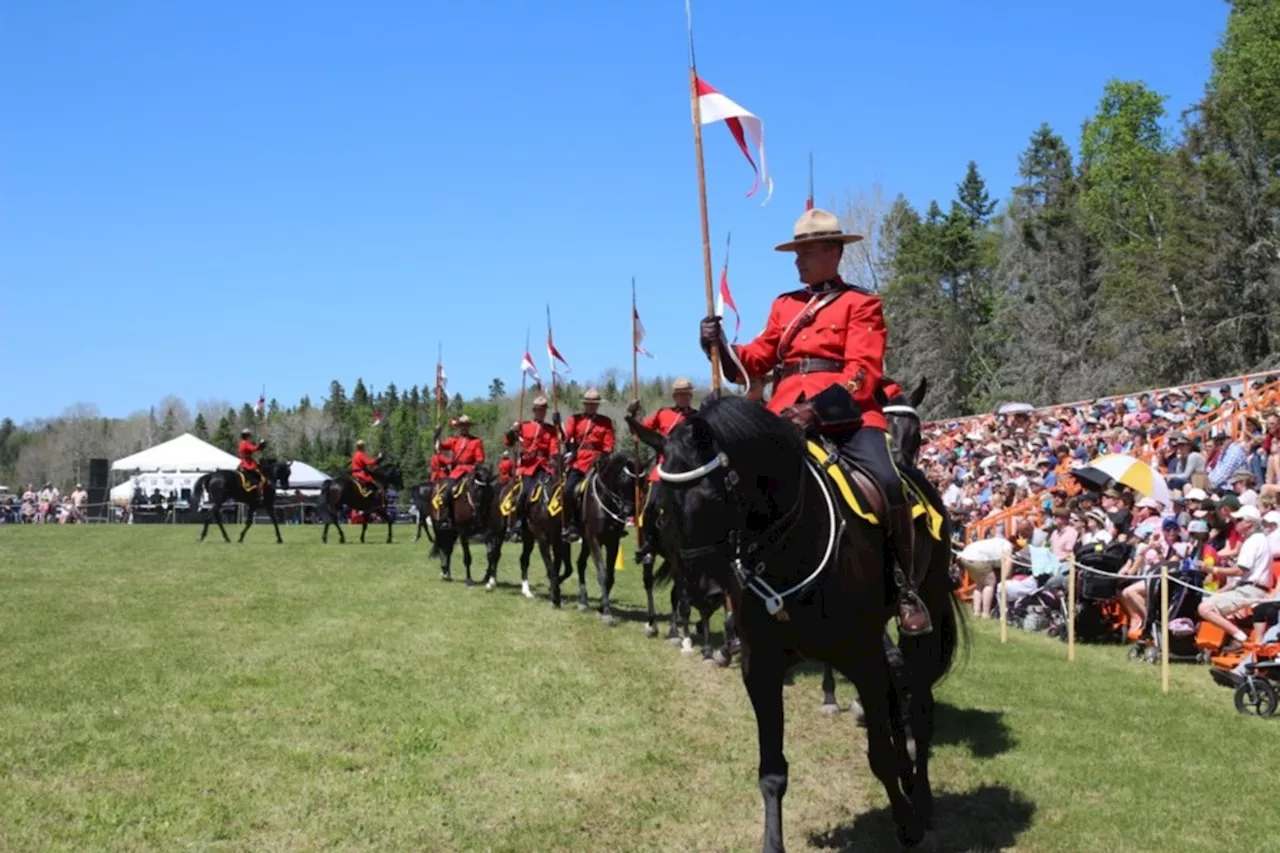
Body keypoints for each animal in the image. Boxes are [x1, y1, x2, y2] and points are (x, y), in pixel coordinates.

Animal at [570, 448, 640, 622]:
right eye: (624, 479)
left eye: (641, 482)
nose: (630, 511)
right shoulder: (595, 540)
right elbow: (602, 573)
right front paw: (607, 612)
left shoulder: (612, 542)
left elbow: (610, 575)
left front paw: (602, 607)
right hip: (587, 540)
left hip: (586, 542)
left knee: (580, 563)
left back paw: (583, 601)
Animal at [650, 394, 962, 845]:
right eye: (660, 505)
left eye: (712, 494)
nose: (702, 591)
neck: (791, 546)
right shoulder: (761, 668)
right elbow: (772, 771)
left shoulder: (860, 657)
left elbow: (879, 755)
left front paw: (908, 823)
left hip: (926, 612)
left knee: (918, 706)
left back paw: (921, 799)